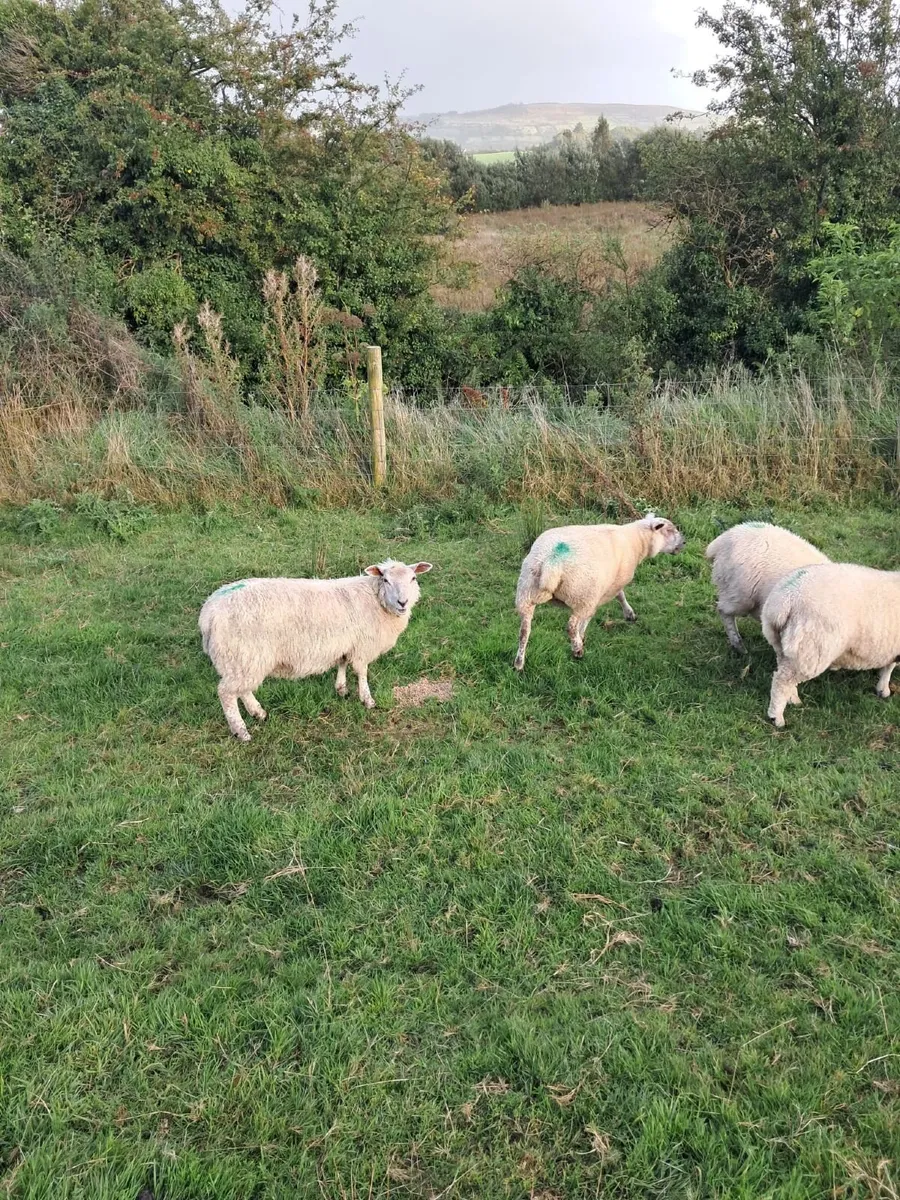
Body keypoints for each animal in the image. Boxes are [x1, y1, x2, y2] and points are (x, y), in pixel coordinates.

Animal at [199, 559, 433, 741]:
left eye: (413, 578)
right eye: (385, 580)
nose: (403, 602)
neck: (375, 599)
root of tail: (208, 613)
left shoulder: (345, 643)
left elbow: (342, 663)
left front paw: (341, 689)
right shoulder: (362, 646)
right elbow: (362, 672)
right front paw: (367, 700)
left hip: (243, 660)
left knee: (242, 690)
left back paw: (259, 713)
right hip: (243, 655)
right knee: (227, 693)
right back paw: (241, 731)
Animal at [514, 512, 685, 670]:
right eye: (670, 530)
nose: (684, 542)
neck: (636, 541)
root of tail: (552, 560)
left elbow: (618, 597)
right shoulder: (607, 588)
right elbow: (615, 599)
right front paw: (628, 614)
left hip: (526, 591)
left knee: (524, 631)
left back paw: (519, 663)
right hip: (581, 595)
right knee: (571, 625)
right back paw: (577, 649)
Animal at [761, 562, 900, 728]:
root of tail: (786, 598)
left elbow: (888, 666)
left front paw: (882, 688)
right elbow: (889, 668)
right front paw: (884, 689)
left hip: (787, 647)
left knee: (786, 676)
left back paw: (793, 699)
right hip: (812, 647)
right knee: (781, 681)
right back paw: (777, 718)